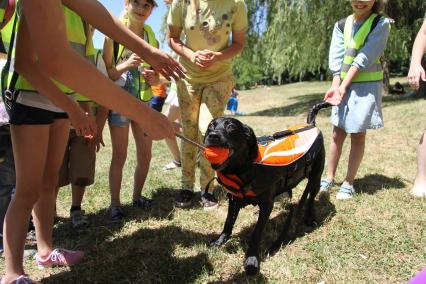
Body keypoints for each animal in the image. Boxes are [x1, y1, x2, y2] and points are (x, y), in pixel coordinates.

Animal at [205, 102, 332, 276]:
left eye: (230, 127)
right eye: (210, 126)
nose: (212, 136)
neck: (246, 167)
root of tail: (311, 125)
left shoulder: (266, 205)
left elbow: (256, 233)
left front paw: (252, 259)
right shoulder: (234, 199)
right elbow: (228, 223)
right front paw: (220, 241)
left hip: (316, 178)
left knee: (311, 197)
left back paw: (308, 217)